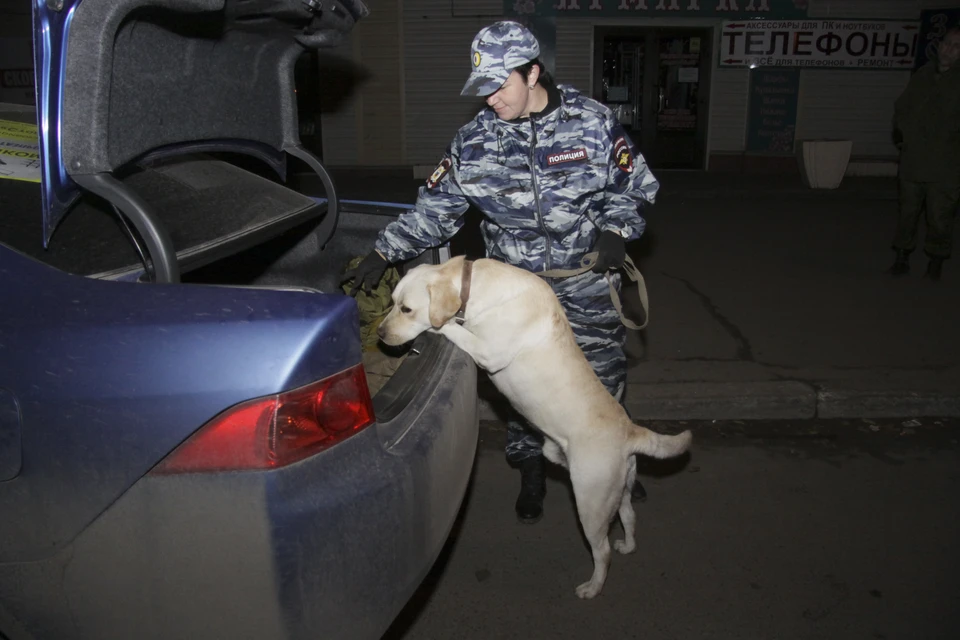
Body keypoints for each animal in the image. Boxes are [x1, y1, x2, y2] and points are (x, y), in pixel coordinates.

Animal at [376, 256, 688, 600]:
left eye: (406, 309)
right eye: (392, 302)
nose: (380, 333)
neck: (479, 288)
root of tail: (631, 431)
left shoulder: (487, 351)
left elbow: (449, 326)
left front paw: (440, 325)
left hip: (591, 501)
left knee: (602, 551)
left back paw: (592, 587)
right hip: (616, 492)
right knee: (630, 517)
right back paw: (628, 546)